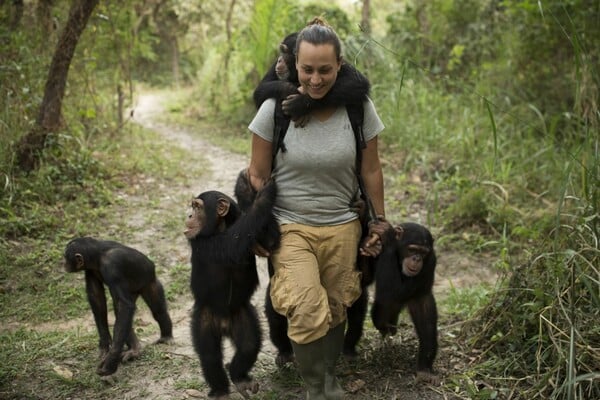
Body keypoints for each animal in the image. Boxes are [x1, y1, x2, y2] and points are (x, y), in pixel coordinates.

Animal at [63, 239, 173, 376]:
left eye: (65, 257)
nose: (64, 264)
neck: (97, 256)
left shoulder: (112, 267)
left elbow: (124, 305)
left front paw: (110, 361)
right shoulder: (90, 270)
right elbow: (97, 298)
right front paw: (104, 344)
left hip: (150, 283)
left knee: (157, 311)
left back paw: (165, 337)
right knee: (120, 312)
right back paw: (134, 349)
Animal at [185, 180, 278, 398]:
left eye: (197, 207)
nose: (189, 215)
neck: (220, 227)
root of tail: (224, 324)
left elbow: (271, 242)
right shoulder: (204, 243)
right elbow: (231, 244)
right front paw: (263, 196)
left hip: (242, 316)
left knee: (249, 346)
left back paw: (239, 377)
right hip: (205, 318)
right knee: (210, 355)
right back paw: (220, 390)